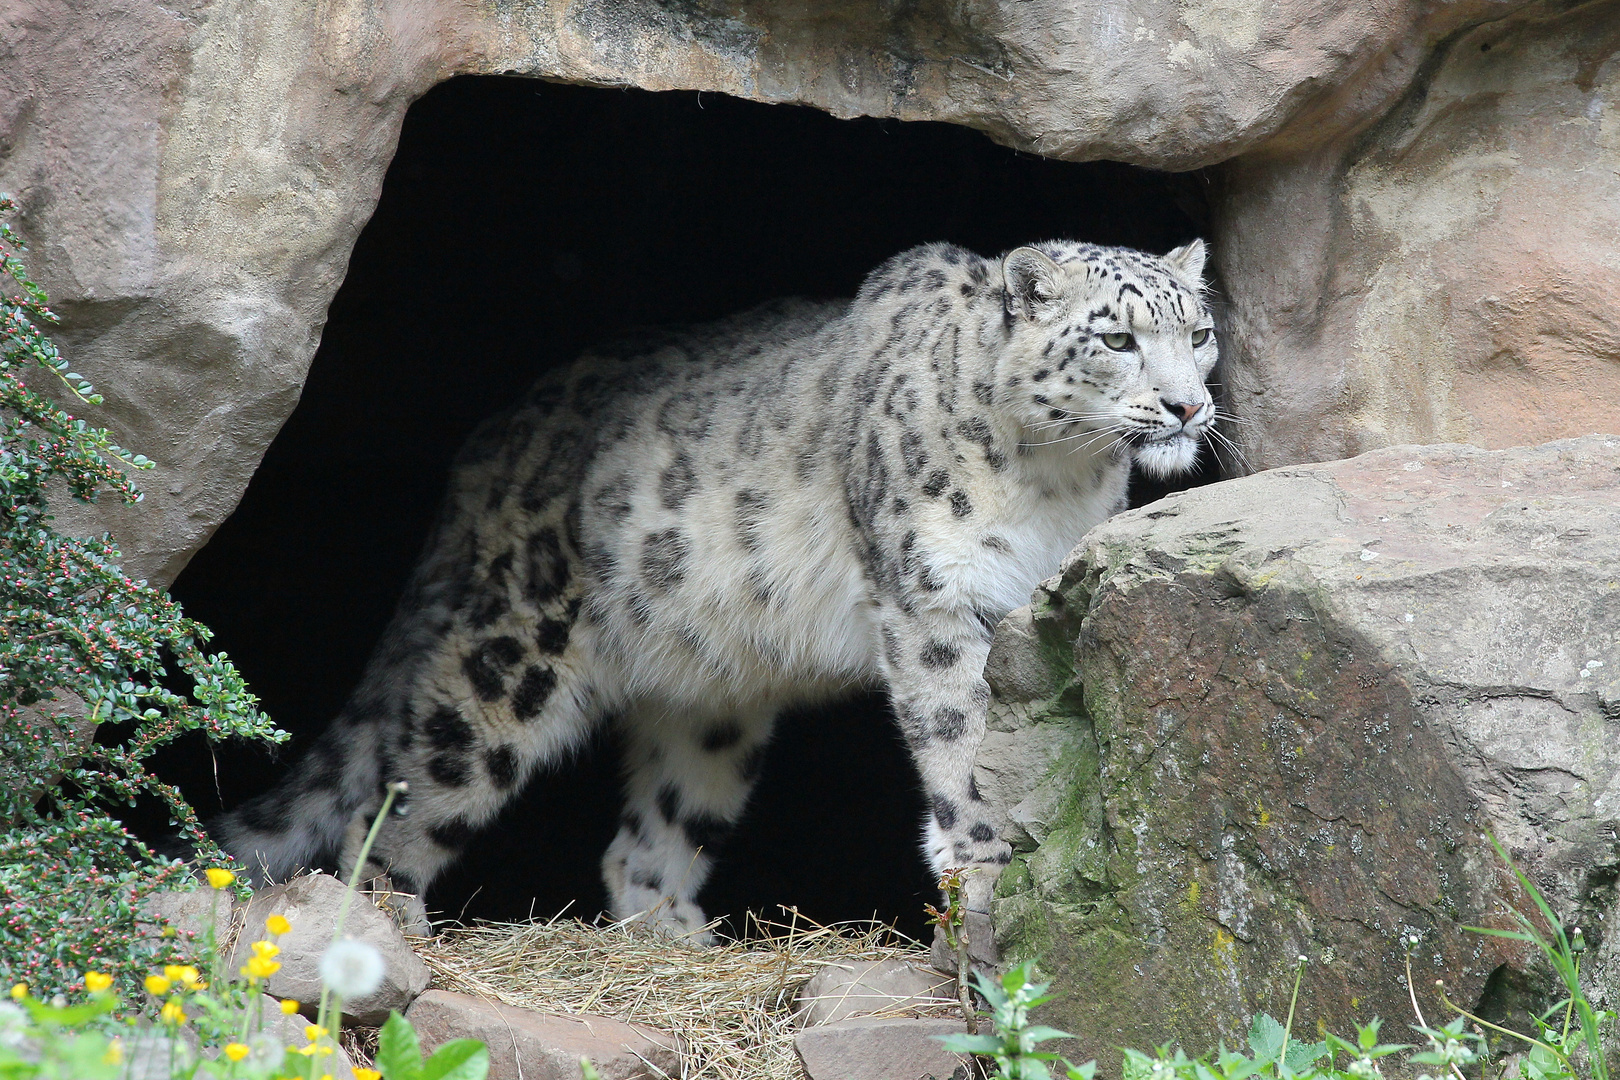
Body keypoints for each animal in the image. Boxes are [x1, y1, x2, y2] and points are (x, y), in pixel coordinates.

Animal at [225, 236, 1218, 939]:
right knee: (401, 796)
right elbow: (960, 734)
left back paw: (681, 939)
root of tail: (490, 442)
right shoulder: (932, 598)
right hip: (509, 657)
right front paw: (981, 854)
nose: (1189, 406)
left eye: (1199, 333)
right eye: (1118, 338)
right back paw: (382, 922)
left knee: (645, 840)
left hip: (708, 705)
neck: (1055, 485)